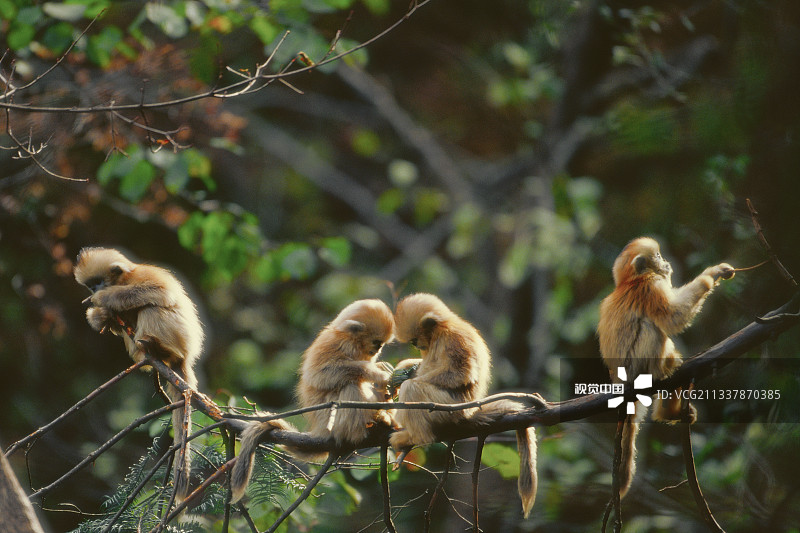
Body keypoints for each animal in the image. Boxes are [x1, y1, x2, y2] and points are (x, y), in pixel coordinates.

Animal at [74, 247, 203, 500]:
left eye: (97, 282)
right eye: (89, 285)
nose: (94, 290)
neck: (124, 279)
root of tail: (185, 357)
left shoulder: (143, 275)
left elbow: (160, 291)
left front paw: (103, 299)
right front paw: (100, 316)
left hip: (179, 336)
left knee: (151, 307)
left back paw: (161, 349)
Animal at [230, 300, 396, 502]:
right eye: (376, 342)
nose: (378, 350)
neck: (349, 338)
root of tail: (322, 430)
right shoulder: (339, 344)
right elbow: (320, 376)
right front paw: (376, 372)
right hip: (333, 421)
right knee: (350, 385)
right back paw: (362, 429)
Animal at [390, 294, 536, 516]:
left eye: (415, 340)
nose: (418, 346)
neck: (443, 327)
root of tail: (470, 412)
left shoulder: (452, 337)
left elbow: (460, 373)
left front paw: (407, 377)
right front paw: (404, 370)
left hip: (449, 406)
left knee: (413, 389)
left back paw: (415, 435)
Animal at [596, 237, 736, 498]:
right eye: (659, 256)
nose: (666, 261)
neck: (630, 282)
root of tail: (622, 382)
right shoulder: (652, 285)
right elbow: (673, 317)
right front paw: (711, 274)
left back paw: (669, 412)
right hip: (639, 365)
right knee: (653, 327)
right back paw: (666, 369)